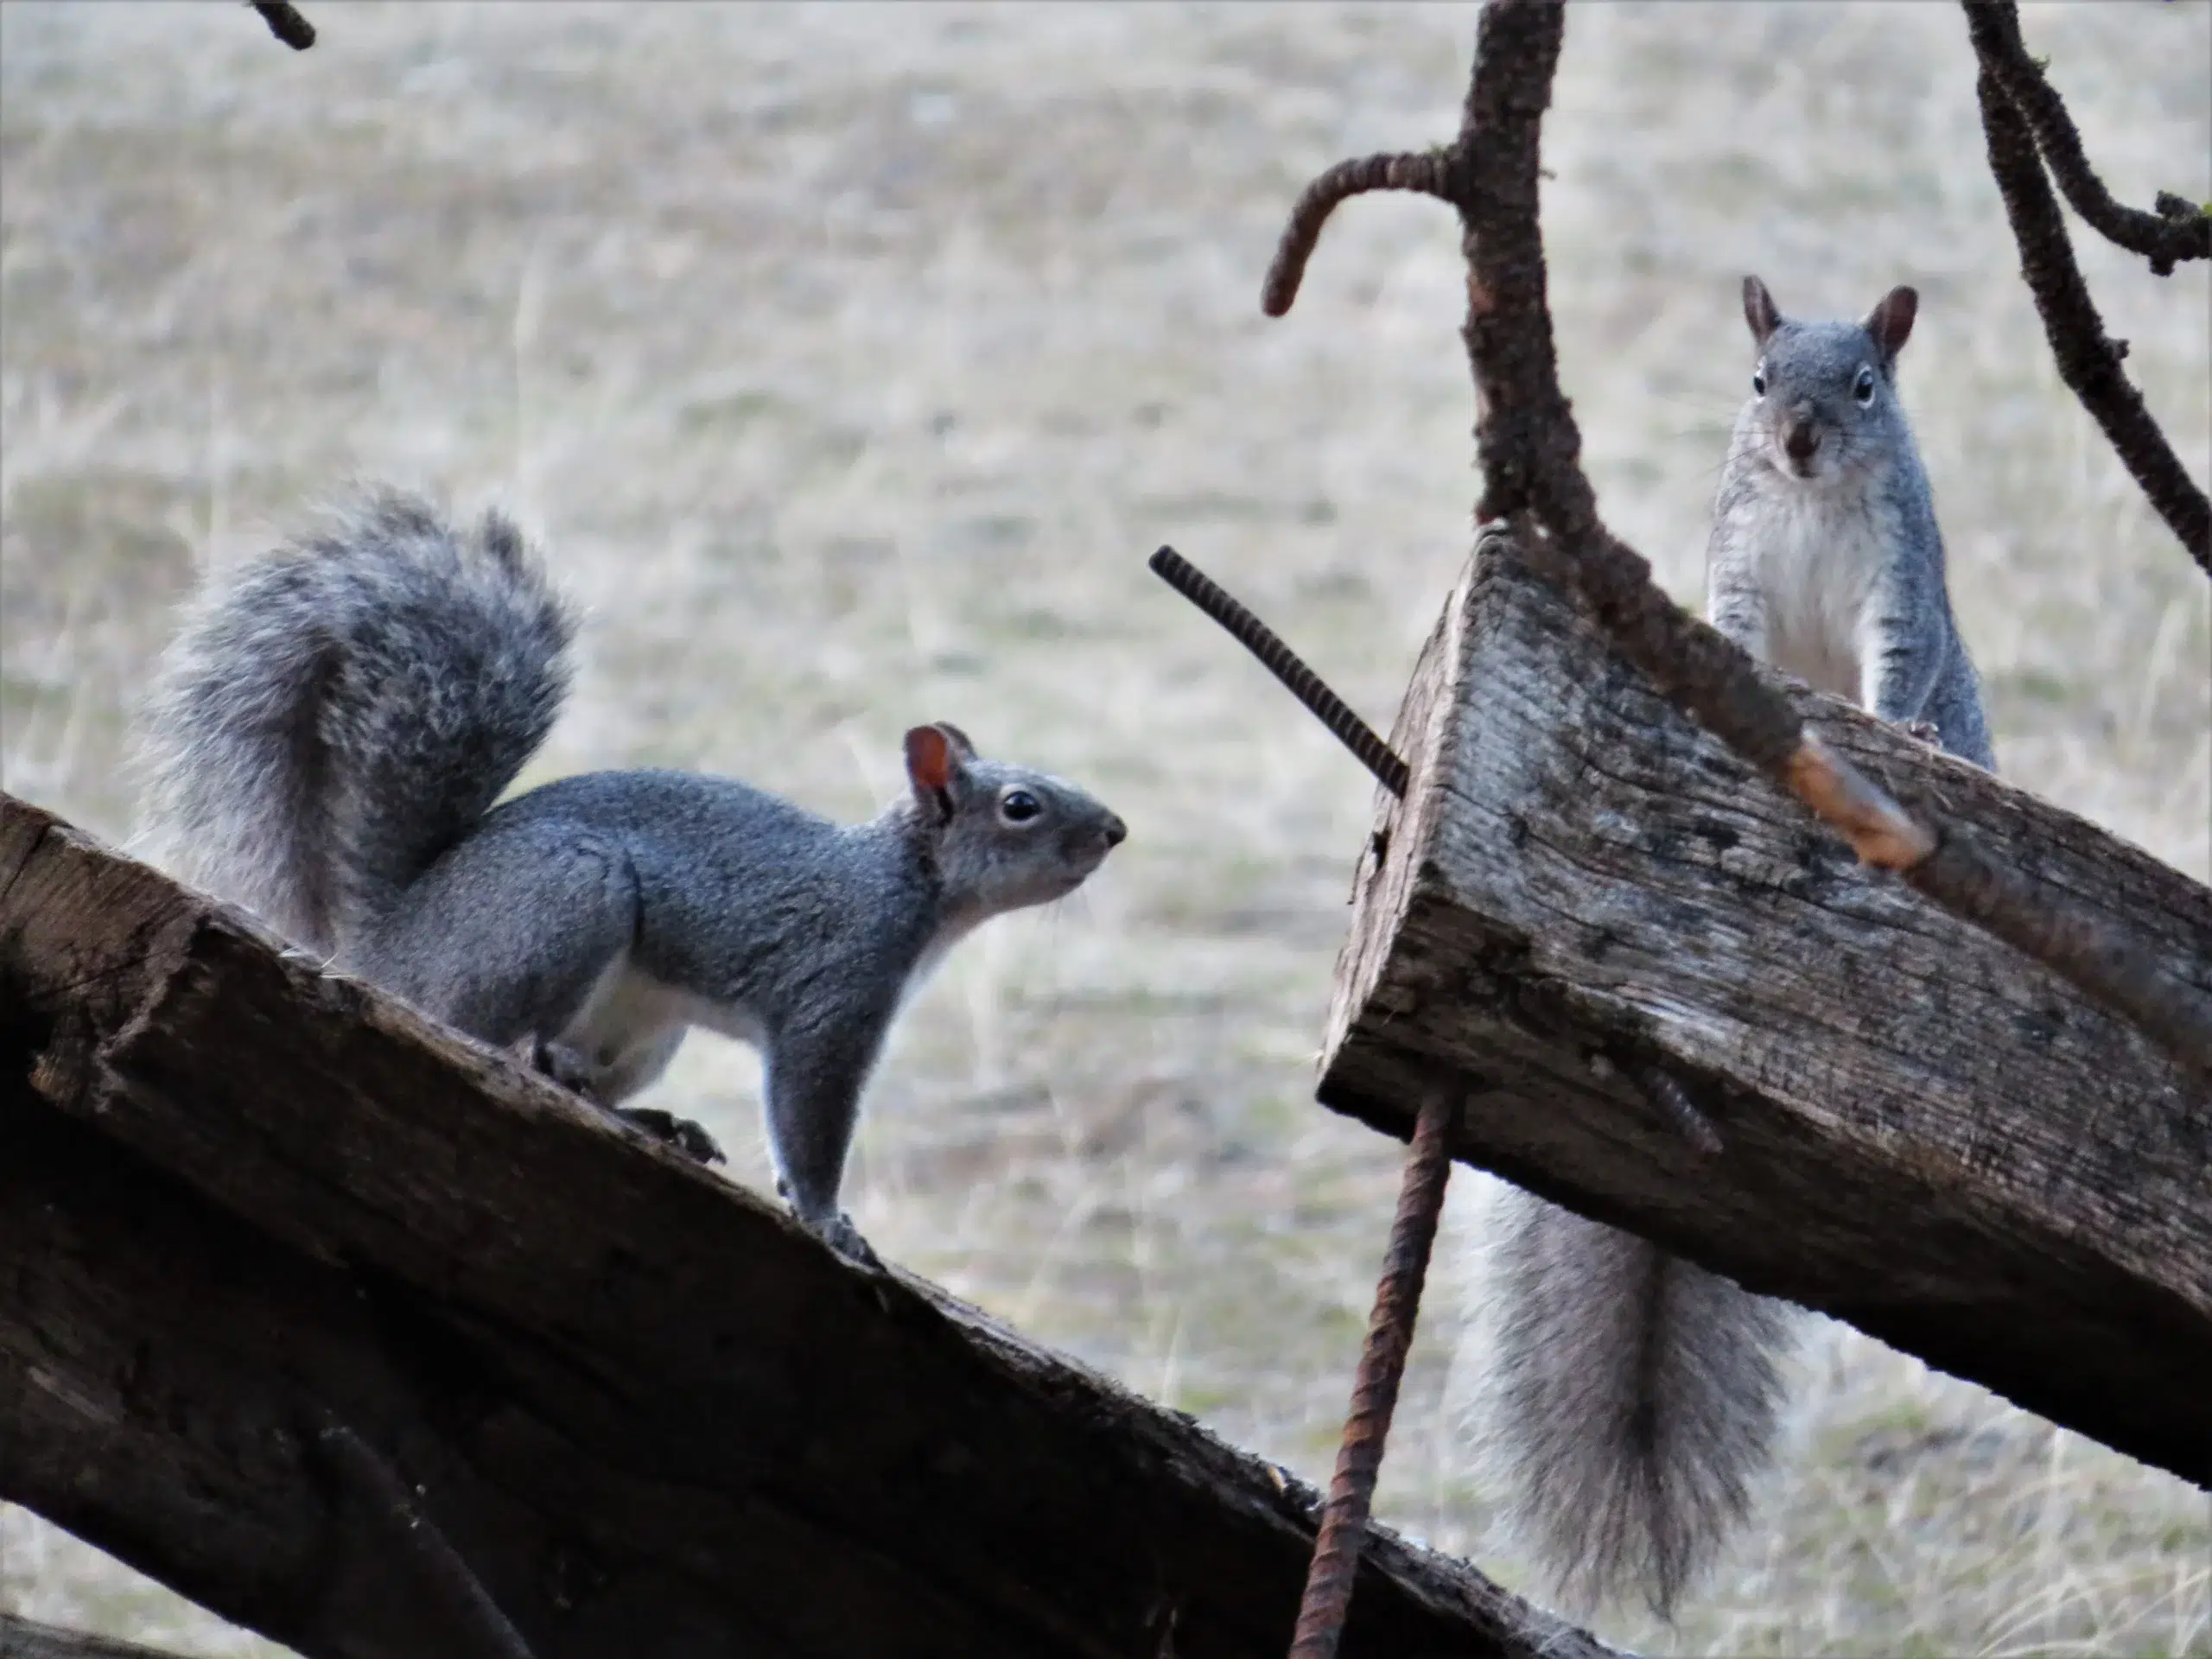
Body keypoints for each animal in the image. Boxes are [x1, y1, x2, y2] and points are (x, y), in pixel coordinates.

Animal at [134, 487, 1126, 1268]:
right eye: (1023, 806)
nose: (1115, 831)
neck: (906, 885)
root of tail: (394, 940)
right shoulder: (834, 991)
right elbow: (809, 1118)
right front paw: (829, 1220)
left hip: (649, 1026)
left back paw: (652, 1122)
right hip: (569, 903)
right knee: (489, 1036)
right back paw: (549, 1062)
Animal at [1468, 278, 1995, 1618]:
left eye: (1865, 386)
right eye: (1757, 382)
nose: (1799, 440)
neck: (1806, 499)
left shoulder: (1901, 586)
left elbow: (1896, 670)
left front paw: (1895, 733)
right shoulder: (1740, 565)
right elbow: (1739, 637)